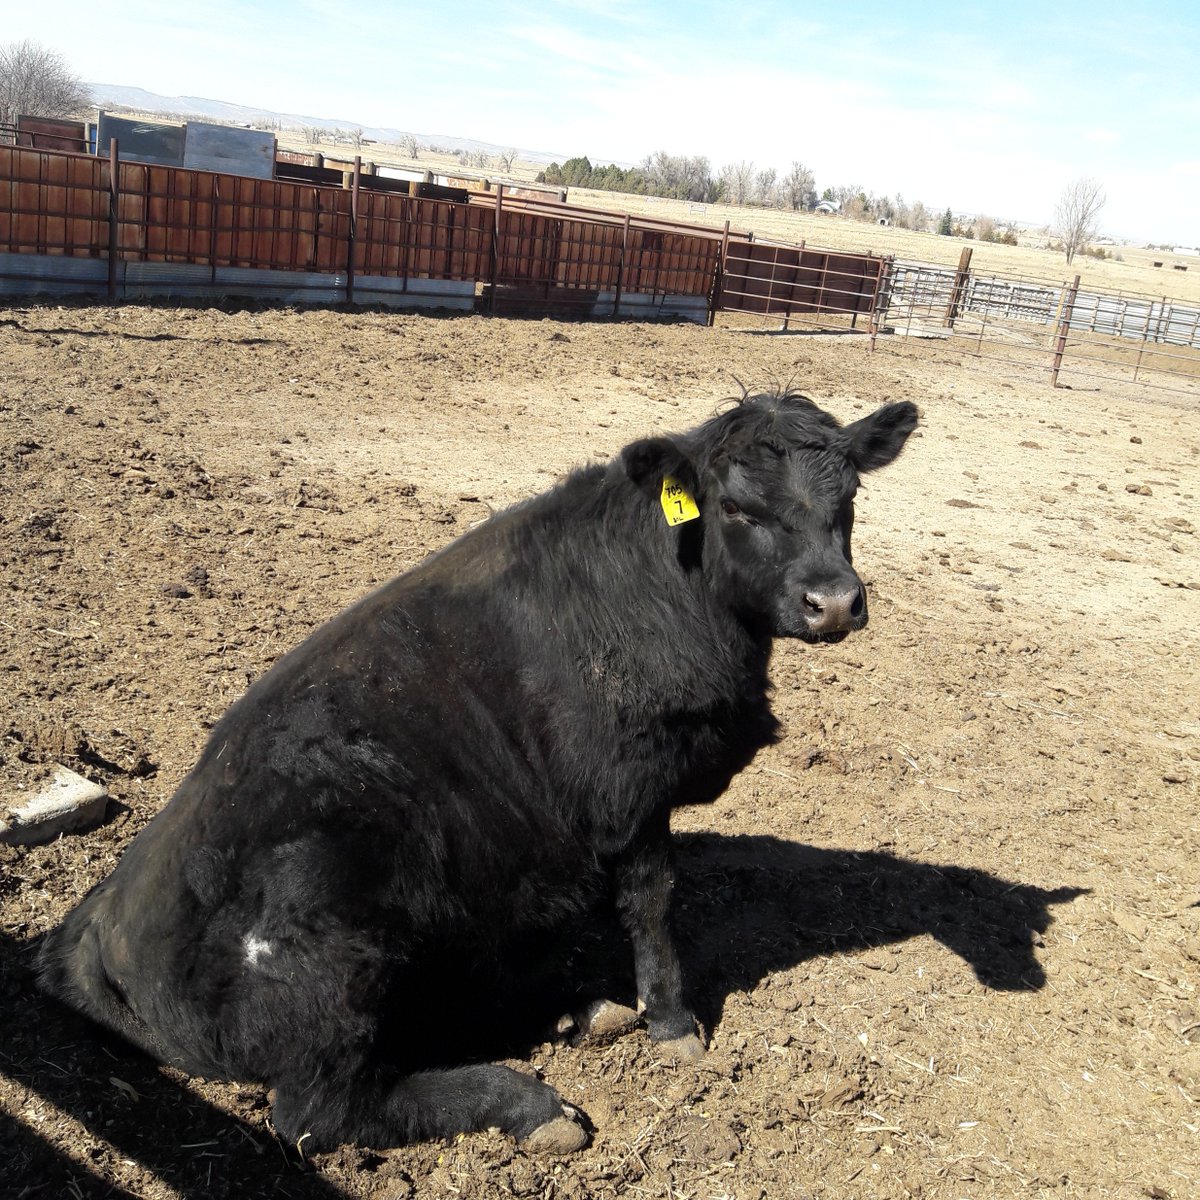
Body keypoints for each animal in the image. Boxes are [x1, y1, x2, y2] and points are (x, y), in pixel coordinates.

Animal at [39, 389, 917, 1155]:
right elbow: (650, 901)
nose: (835, 602)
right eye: (735, 508)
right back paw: (532, 1103)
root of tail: (99, 927)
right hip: (330, 930)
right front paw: (672, 1022)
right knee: (326, 1113)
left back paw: (575, 1013)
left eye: (849, 499)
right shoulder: (625, 792)